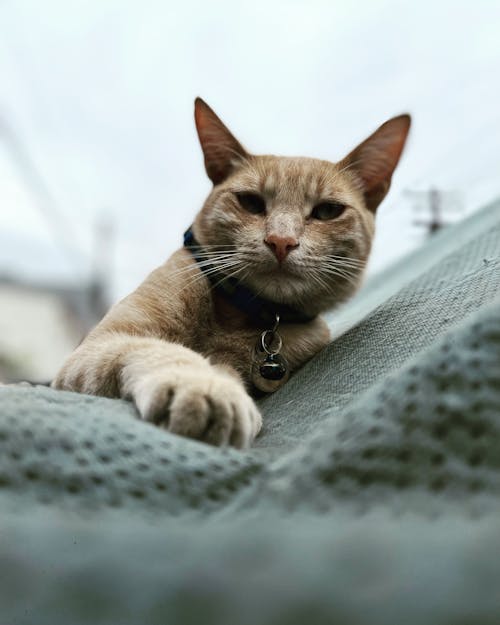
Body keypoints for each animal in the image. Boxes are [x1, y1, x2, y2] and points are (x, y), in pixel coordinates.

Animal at [52, 97, 410, 446]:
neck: (240, 317)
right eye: (250, 202)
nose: (281, 241)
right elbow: (159, 349)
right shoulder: (100, 345)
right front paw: (201, 387)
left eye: (327, 211)